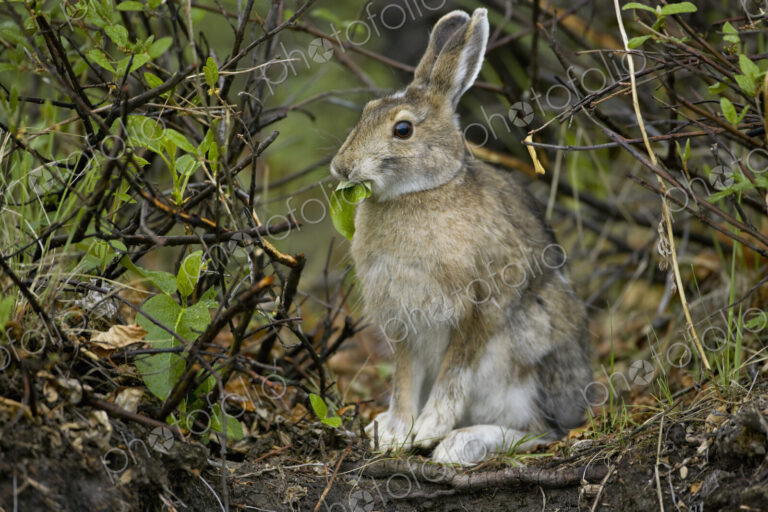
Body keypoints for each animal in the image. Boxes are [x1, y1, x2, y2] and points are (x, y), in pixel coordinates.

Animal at [329, 8, 592, 465]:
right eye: (367, 110)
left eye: (402, 130)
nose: (342, 167)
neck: (422, 192)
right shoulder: (401, 322)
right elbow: (403, 379)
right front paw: (393, 433)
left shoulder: (481, 305)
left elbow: (455, 369)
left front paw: (429, 428)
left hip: (525, 353)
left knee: (543, 431)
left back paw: (461, 444)